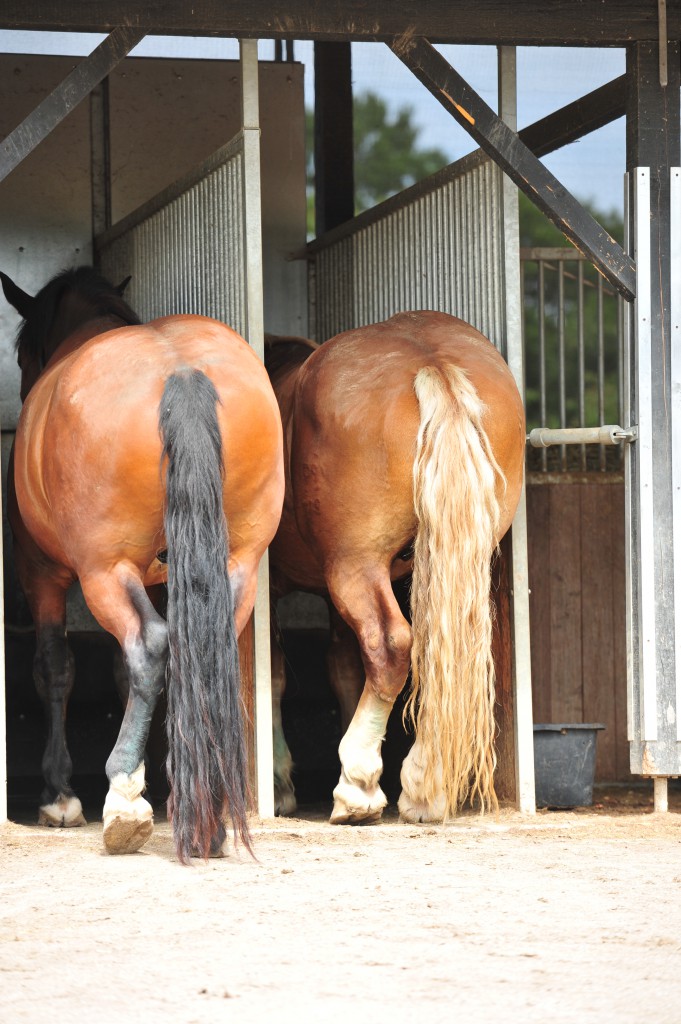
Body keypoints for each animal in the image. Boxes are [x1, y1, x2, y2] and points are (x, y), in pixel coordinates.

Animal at [2, 268, 284, 860]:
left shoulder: (43, 573)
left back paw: (125, 793)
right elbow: (121, 669)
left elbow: (56, 668)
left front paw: (59, 795)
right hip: (237, 561)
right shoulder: (158, 577)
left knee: (149, 647)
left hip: (103, 572)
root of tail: (179, 371)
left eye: (21, 354)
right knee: (198, 648)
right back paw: (205, 808)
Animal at [266, 309, 524, 823]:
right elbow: (343, 666)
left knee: (390, 647)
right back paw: (425, 786)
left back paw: (358, 785)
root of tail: (432, 365)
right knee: (443, 648)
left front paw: (282, 783)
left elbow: (276, 673)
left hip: (356, 566)